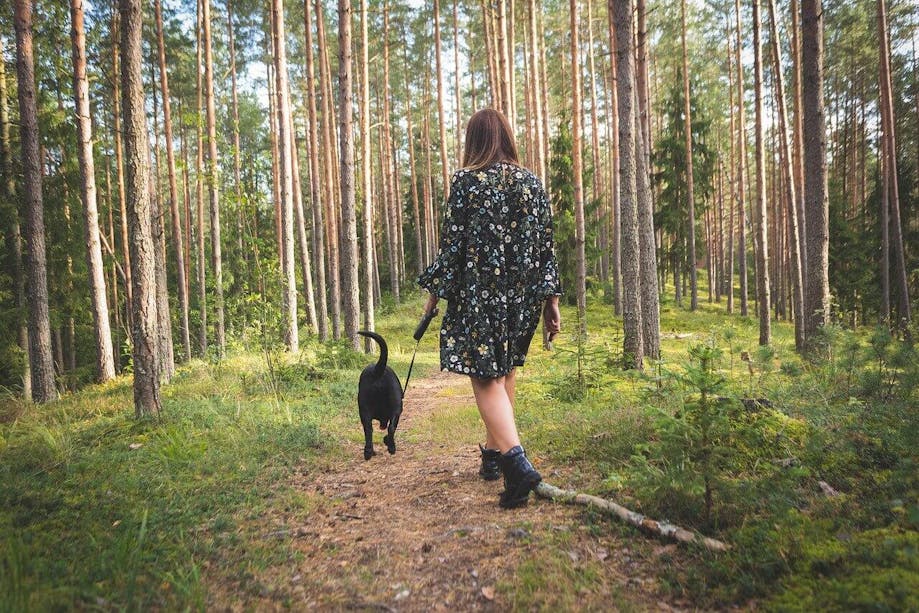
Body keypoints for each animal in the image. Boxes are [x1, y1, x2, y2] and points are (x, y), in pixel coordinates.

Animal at [358, 330, 404, 460]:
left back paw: (369, 452)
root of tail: (377, 370)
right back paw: (391, 447)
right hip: (396, 408)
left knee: (369, 430)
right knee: (391, 428)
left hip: (364, 411)